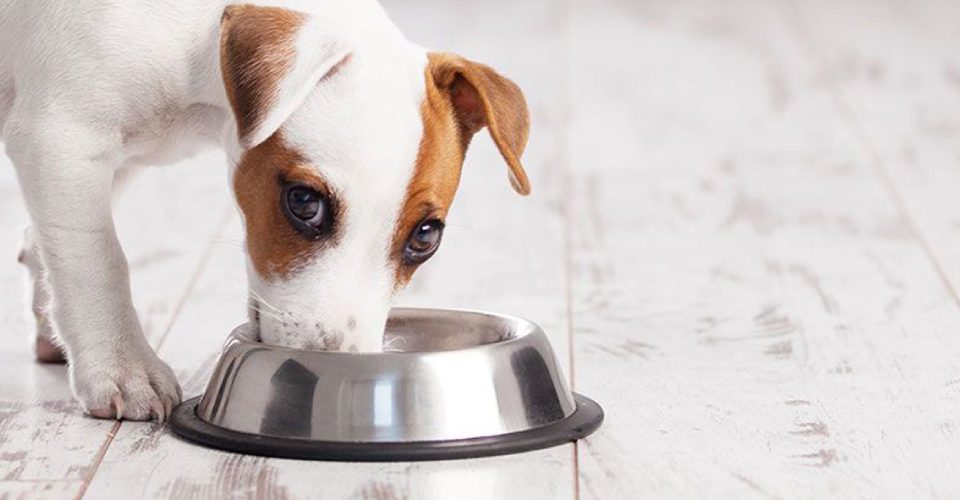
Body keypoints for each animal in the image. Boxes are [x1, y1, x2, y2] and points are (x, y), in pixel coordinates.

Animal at [0, 0, 532, 422]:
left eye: (425, 236)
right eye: (304, 202)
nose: (335, 365)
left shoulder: (106, 159)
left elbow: (56, 243)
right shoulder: (62, 139)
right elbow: (97, 260)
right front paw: (123, 366)